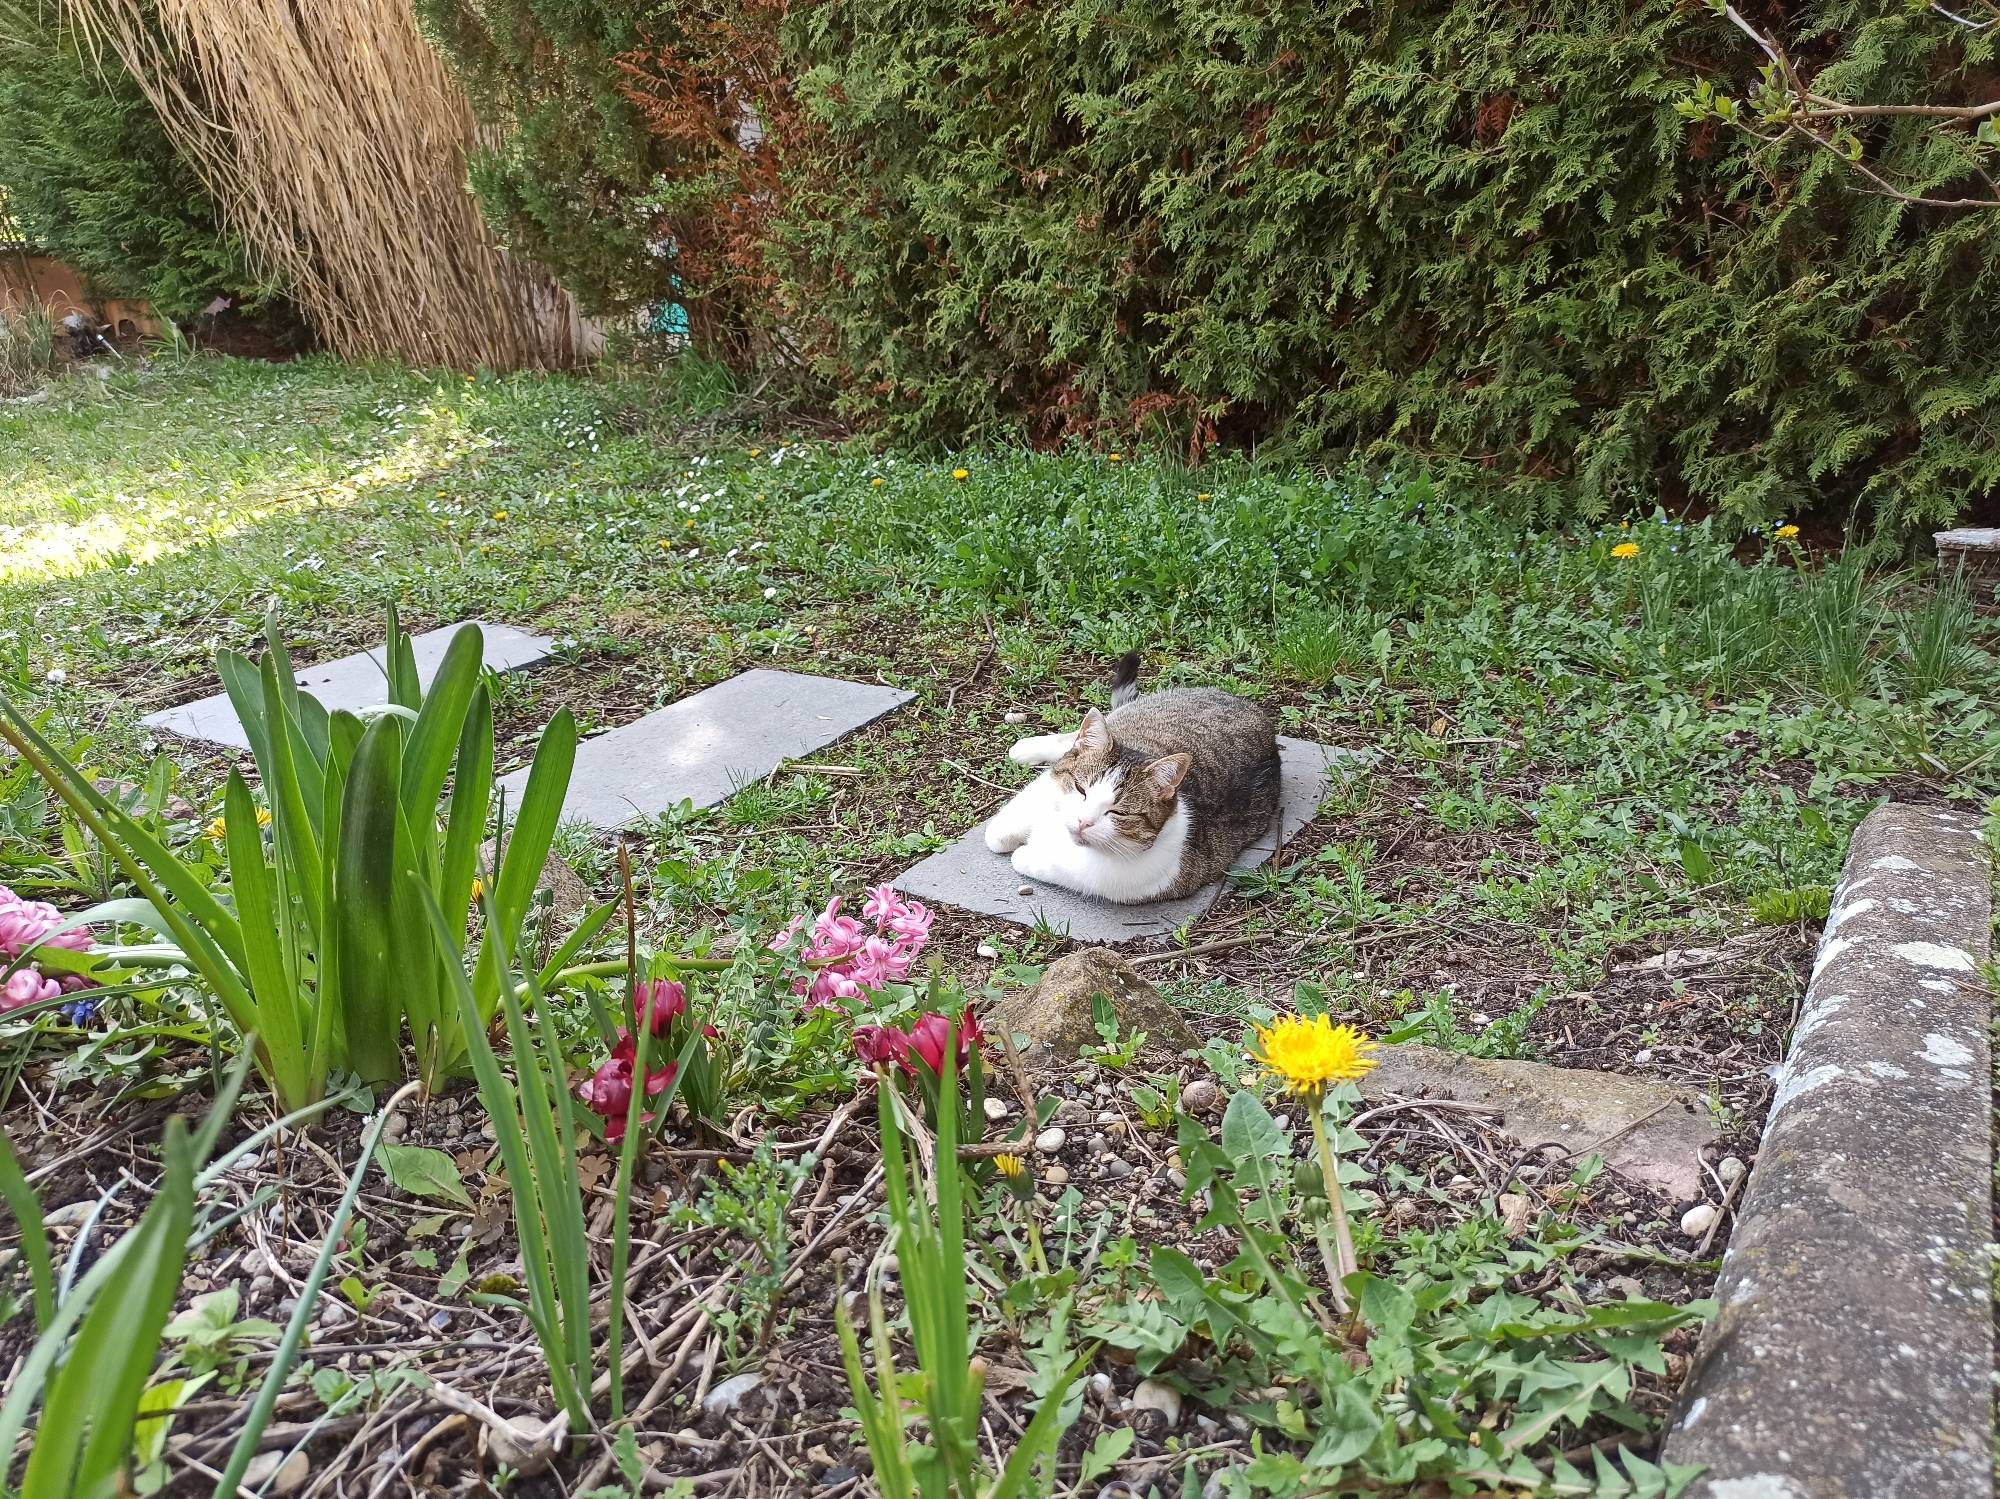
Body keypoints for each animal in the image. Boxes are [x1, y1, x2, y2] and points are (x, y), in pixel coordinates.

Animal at [984, 655, 1280, 903]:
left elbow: (1043, 863)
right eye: (1080, 789)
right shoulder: (1048, 787)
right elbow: (997, 835)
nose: (1083, 822)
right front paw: (1004, 832)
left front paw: (1026, 854)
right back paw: (1025, 748)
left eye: (1119, 813)